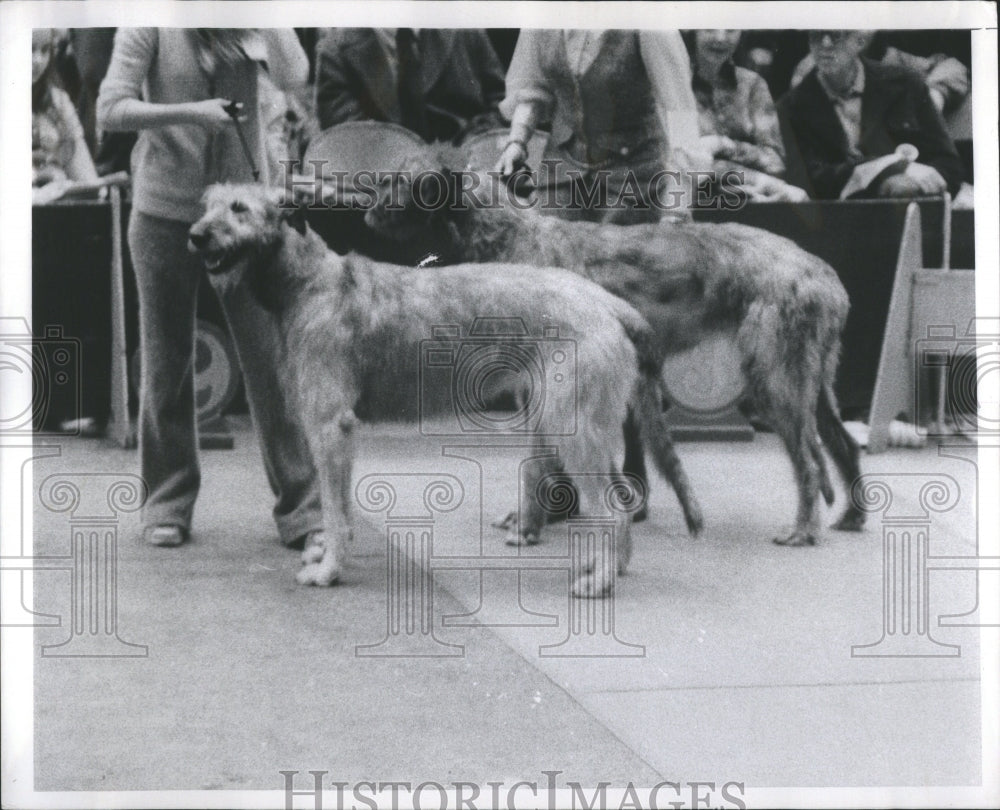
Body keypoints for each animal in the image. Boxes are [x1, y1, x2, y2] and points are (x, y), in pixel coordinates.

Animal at [189, 183, 704, 596]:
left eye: (239, 208)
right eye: (207, 204)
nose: (195, 235)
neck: (311, 281)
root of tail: (607, 303)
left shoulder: (330, 425)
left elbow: (335, 511)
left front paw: (329, 568)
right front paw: (324, 558)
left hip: (570, 425)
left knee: (611, 507)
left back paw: (599, 582)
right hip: (582, 423)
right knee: (623, 497)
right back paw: (611, 567)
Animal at [364, 159, 864, 548]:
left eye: (403, 183)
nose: (365, 211)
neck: (510, 236)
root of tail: (823, 272)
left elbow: (542, 463)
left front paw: (537, 519)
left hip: (776, 379)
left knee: (810, 461)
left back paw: (803, 529)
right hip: (811, 380)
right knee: (842, 444)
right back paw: (852, 516)